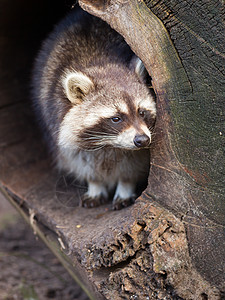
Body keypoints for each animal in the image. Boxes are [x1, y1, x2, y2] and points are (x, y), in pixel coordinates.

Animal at [32, 6, 156, 209]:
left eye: (141, 112)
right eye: (116, 118)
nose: (142, 140)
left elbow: (134, 164)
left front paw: (125, 185)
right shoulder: (58, 123)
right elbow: (79, 160)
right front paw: (95, 184)